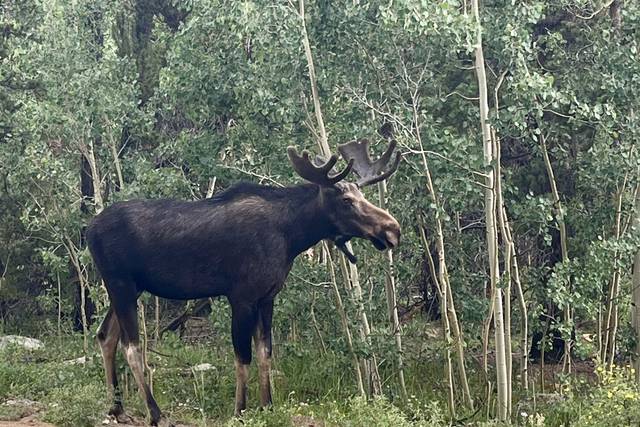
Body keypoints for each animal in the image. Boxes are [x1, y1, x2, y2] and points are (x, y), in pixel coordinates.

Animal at [86, 139, 401, 426]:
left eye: (361, 195)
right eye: (347, 201)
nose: (393, 229)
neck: (292, 236)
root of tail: (88, 229)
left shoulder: (267, 296)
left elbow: (265, 352)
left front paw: (268, 405)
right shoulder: (242, 295)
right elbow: (243, 356)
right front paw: (240, 410)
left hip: (129, 288)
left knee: (105, 335)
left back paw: (117, 408)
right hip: (121, 283)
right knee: (131, 346)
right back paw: (155, 413)